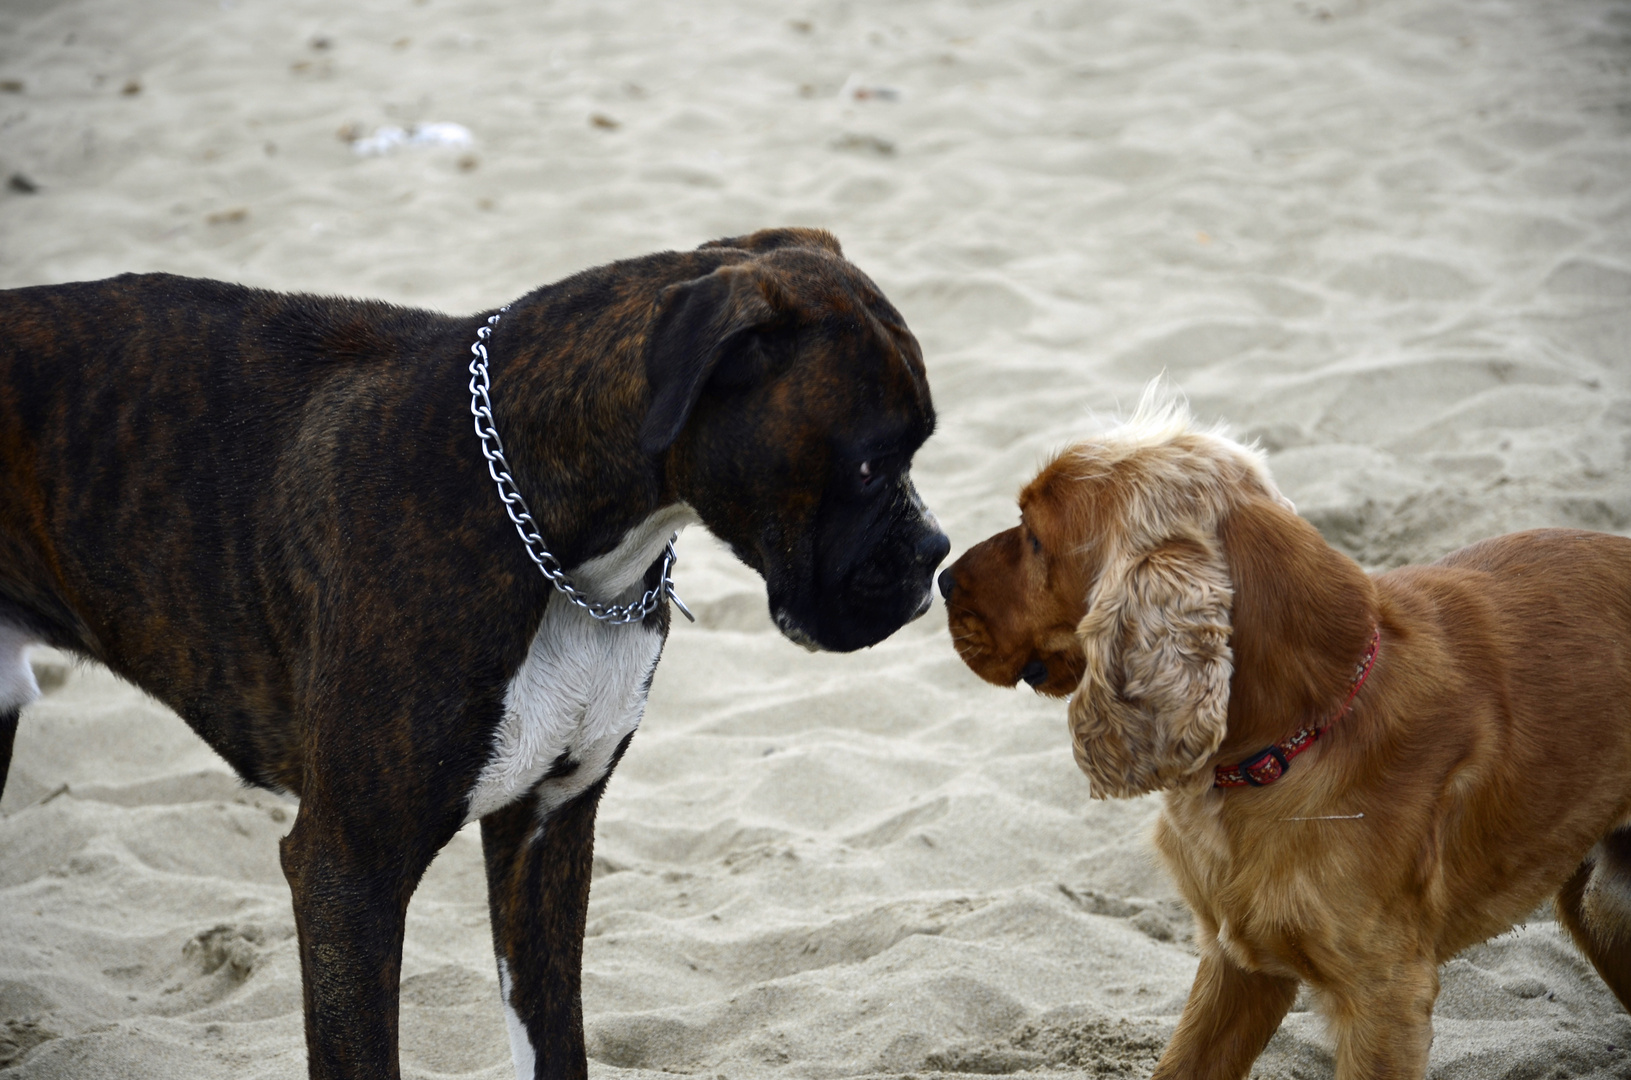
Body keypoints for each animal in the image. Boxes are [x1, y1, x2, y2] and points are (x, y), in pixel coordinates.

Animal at [0, 228, 952, 1080]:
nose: (934, 553)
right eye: (870, 465)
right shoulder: (348, 877)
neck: (562, 549)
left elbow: (555, 1045)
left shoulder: (547, 832)